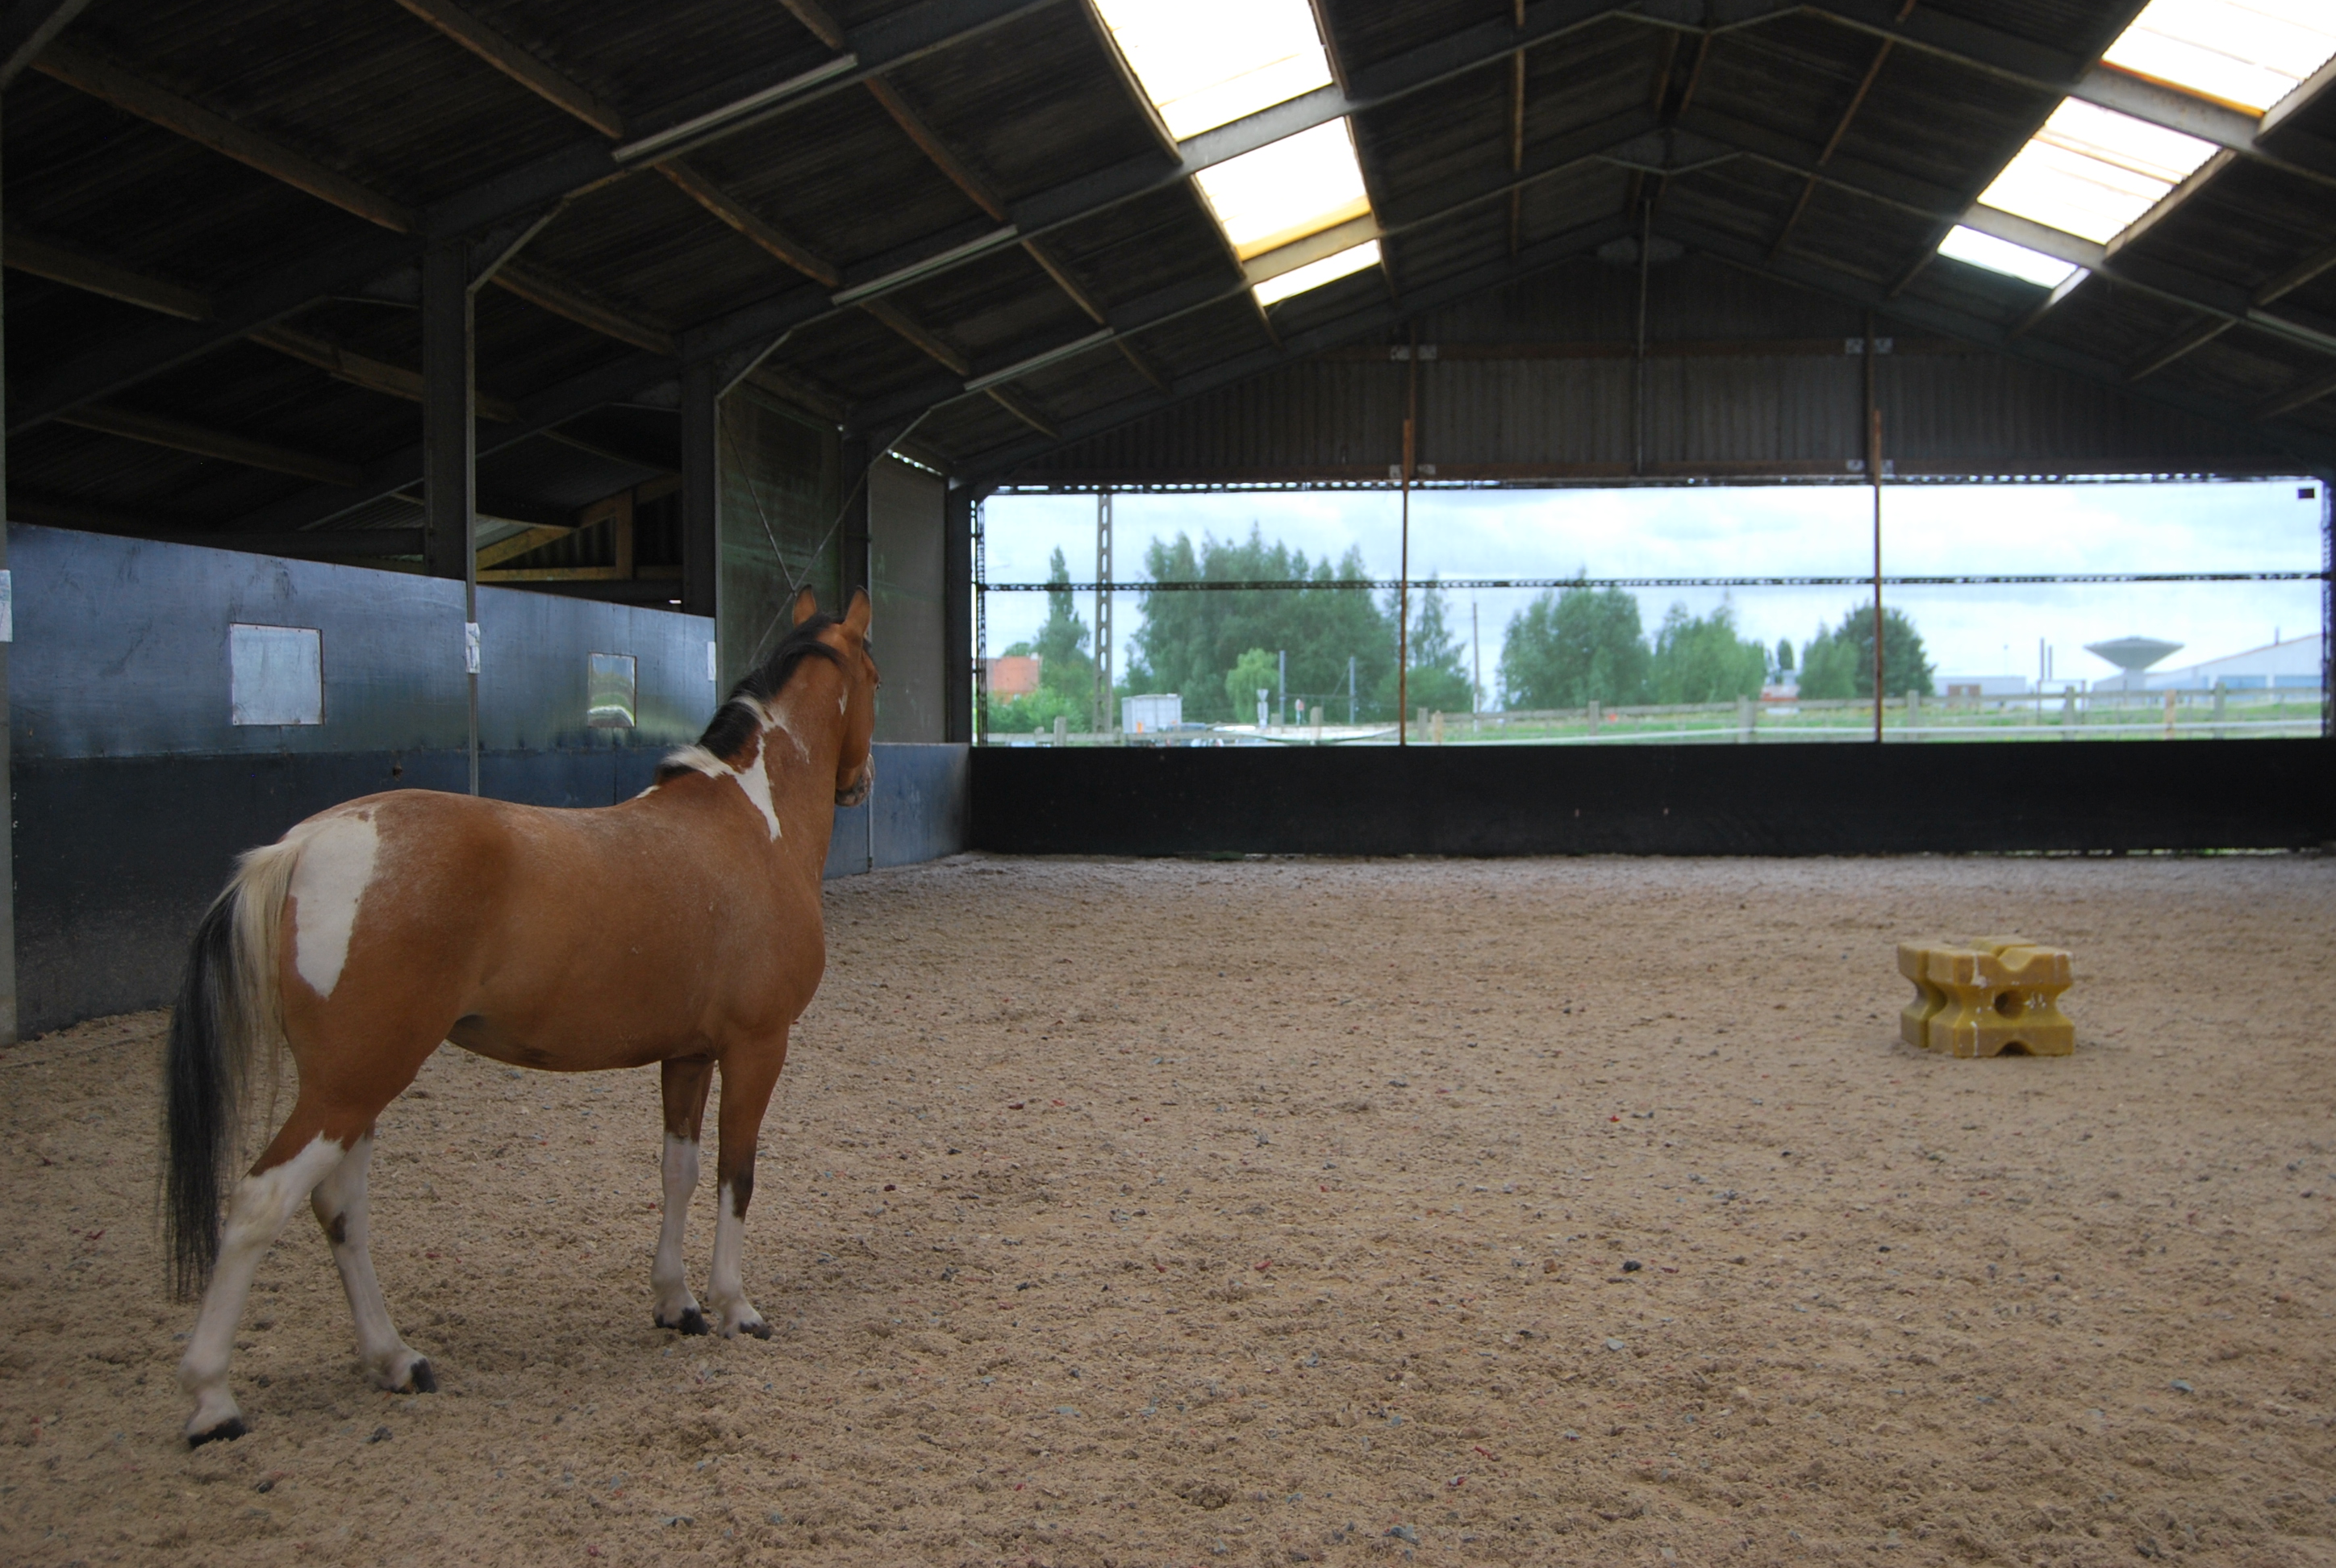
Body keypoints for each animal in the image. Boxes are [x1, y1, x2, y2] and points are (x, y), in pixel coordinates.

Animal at [160, 586, 878, 1449]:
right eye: (875, 674)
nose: (862, 781)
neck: (751, 823)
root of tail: (302, 845)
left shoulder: (687, 1054)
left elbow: (677, 1171)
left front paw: (676, 1302)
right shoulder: (755, 1047)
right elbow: (736, 1173)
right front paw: (736, 1305)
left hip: (355, 1086)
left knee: (340, 1210)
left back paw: (394, 1358)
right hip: (353, 1084)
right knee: (261, 1205)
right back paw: (211, 1397)